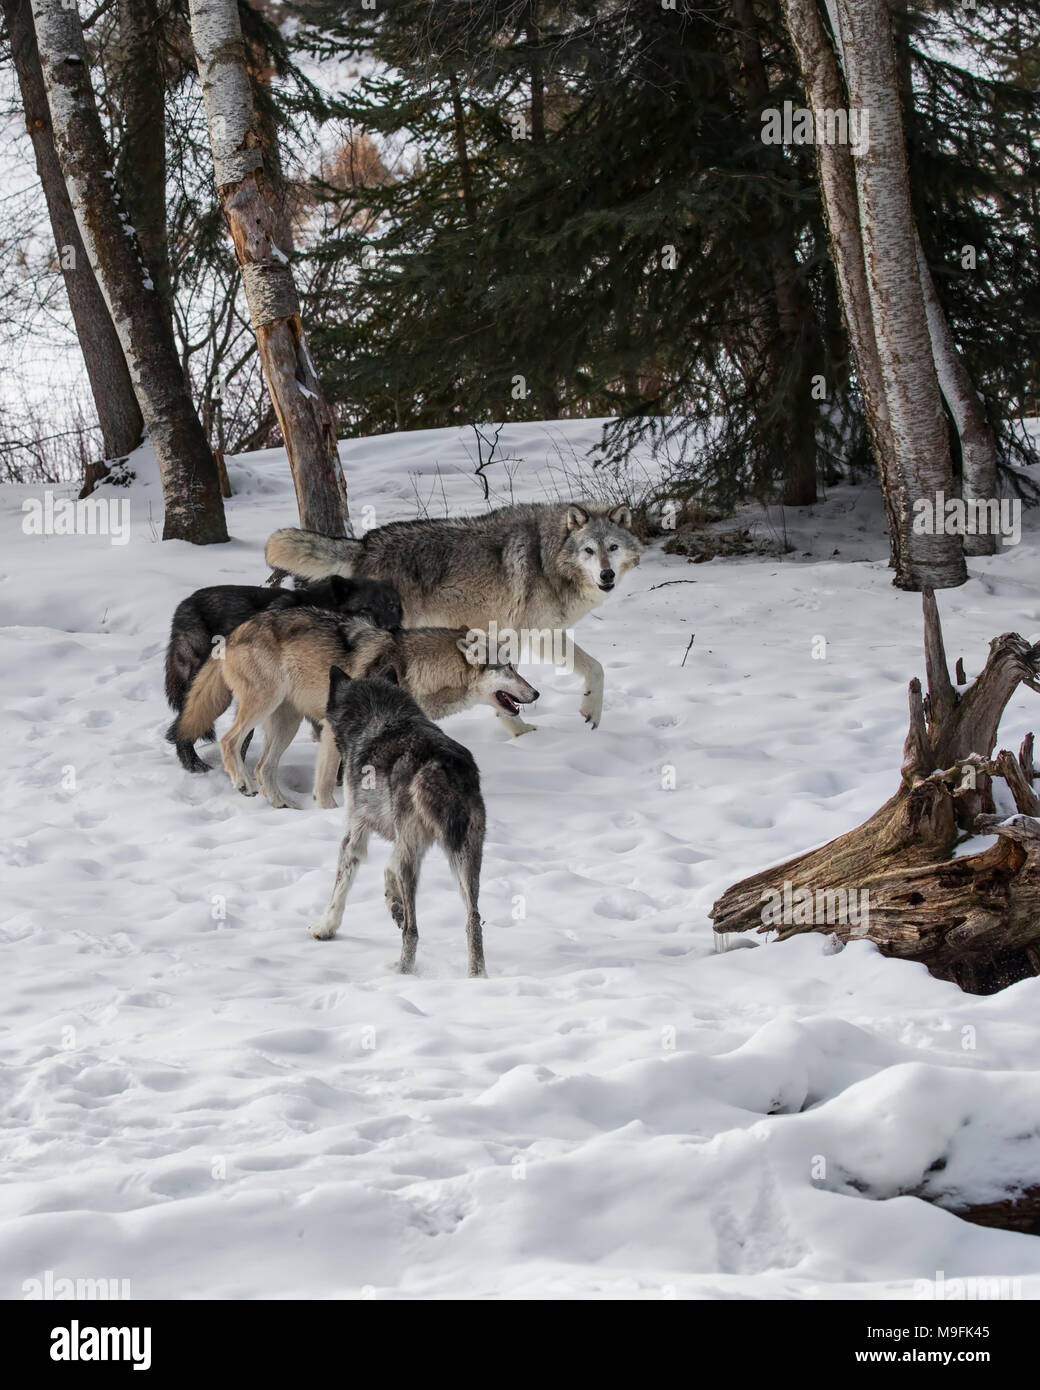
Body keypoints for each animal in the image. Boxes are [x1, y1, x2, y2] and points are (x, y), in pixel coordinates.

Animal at [164, 575, 402, 773]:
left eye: (392, 606)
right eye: (366, 609)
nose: (393, 630)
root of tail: (184, 603)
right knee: (186, 722)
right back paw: (194, 764)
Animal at [168, 608, 538, 810]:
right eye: (508, 668)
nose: (535, 693)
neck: (414, 668)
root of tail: (233, 633)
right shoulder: (336, 729)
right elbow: (327, 781)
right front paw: (330, 812)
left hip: (286, 722)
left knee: (263, 767)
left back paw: (281, 805)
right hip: (264, 705)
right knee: (229, 742)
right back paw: (243, 784)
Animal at [265, 501, 642, 735]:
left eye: (613, 548)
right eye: (589, 551)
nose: (606, 575)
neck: (546, 557)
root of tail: (365, 544)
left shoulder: (545, 634)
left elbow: (596, 668)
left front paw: (591, 712)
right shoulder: (518, 635)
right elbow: (505, 686)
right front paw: (520, 732)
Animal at [310, 672, 488, 977]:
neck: (379, 710)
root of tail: (439, 763)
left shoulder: (355, 834)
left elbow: (340, 890)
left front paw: (325, 927)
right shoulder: (402, 842)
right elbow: (386, 868)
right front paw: (394, 903)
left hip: (417, 863)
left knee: (413, 931)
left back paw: (401, 972)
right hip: (465, 861)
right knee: (473, 921)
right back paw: (477, 977)